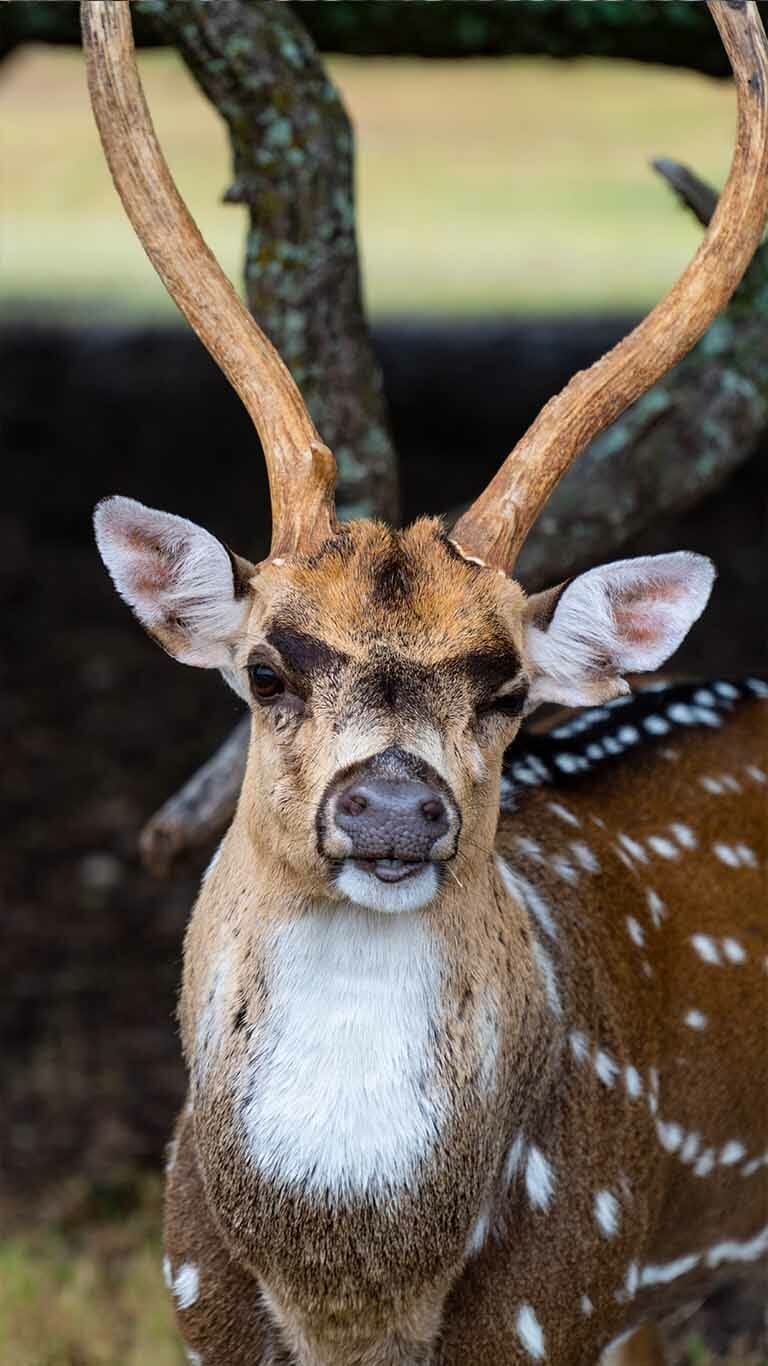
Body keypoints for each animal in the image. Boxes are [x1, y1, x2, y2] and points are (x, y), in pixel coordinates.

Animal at [82, 2, 768, 1363]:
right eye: (266, 667)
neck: (354, 1296)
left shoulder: (563, 1296)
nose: (394, 806)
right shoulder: (191, 1299)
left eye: (509, 688)